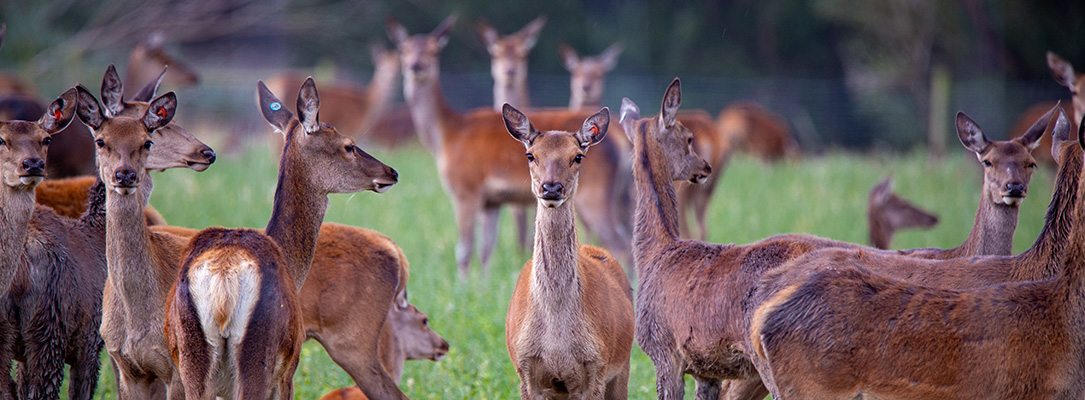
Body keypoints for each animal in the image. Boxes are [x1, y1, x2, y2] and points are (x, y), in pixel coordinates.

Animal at [164, 76, 403, 396]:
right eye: (349, 146)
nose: (392, 172)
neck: (291, 262)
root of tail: (223, 281)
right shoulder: (289, 367)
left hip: (190, 356)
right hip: (261, 354)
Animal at [386, 14, 633, 273]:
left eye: (434, 50)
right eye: (403, 49)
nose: (416, 66)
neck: (446, 135)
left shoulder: (466, 189)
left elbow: (464, 250)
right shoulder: (492, 201)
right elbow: (486, 251)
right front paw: (481, 283)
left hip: (595, 194)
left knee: (621, 245)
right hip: (622, 194)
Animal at [501, 103, 633, 398]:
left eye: (578, 157)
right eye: (530, 155)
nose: (551, 187)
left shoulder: (597, 367)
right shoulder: (525, 369)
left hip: (623, 365)